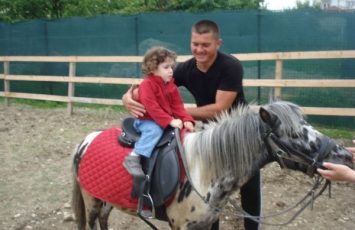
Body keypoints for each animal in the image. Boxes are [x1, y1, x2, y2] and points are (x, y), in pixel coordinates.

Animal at [71, 100, 354, 230]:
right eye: (294, 134)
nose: (344, 156)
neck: (204, 172)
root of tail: (86, 140)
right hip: (92, 200)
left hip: (107, 198)